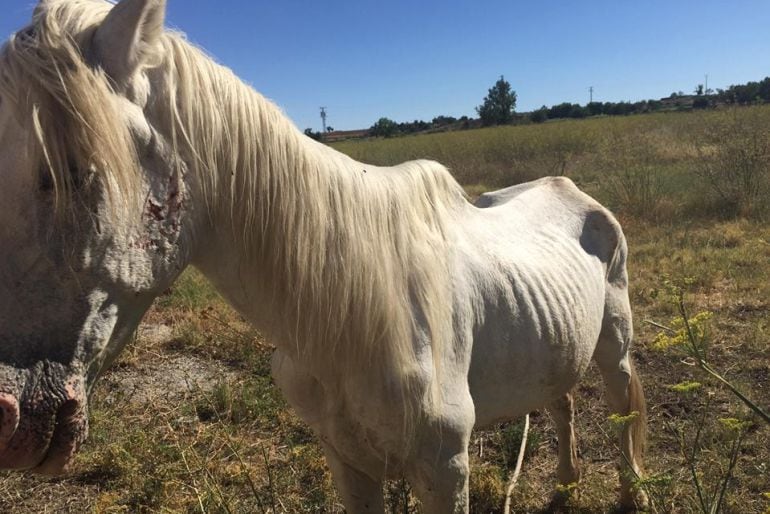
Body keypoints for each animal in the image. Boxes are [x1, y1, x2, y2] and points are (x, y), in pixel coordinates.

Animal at [0, 2, 644, 510]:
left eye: (72, 172)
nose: (11, 420)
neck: (351, 314)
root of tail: (572, 190)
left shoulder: (444, 470)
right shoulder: (347, 461)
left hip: (614, 346)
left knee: (623, 409)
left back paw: (631, 492)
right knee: (561, 403)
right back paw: (563, 487)